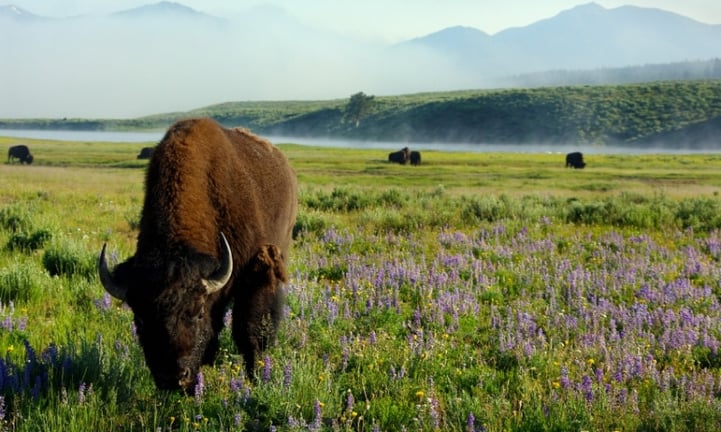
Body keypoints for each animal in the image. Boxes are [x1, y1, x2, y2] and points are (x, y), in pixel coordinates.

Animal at [97, 118, 296, 392]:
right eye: (140, 318)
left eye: (198, 312)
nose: (173, 377)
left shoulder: (256, 272)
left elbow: (249, 329)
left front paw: (256, 376)